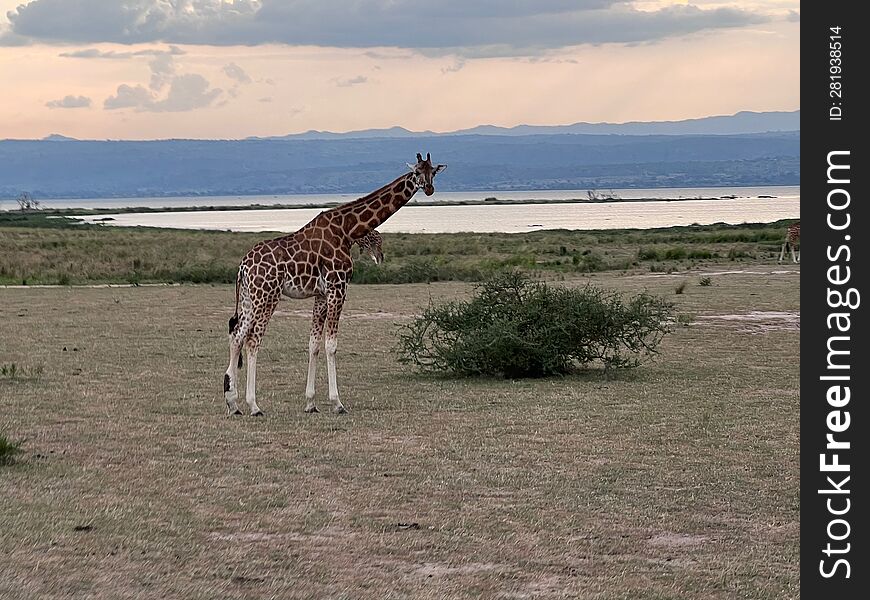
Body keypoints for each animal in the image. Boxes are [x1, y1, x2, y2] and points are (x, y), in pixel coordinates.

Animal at [221, 152, 446, 414]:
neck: (347, 230)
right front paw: (337, 402)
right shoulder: (338, 287)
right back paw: (254, 405)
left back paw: (232, 402)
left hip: (250, 297)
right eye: (417, 172)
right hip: (267, 295)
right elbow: (331, 344)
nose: (429, 188)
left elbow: (313, 344)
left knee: (237, 335)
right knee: (252, 340)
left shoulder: (321, 293)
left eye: (433, 171)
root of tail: (242, 266)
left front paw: (310, 403)